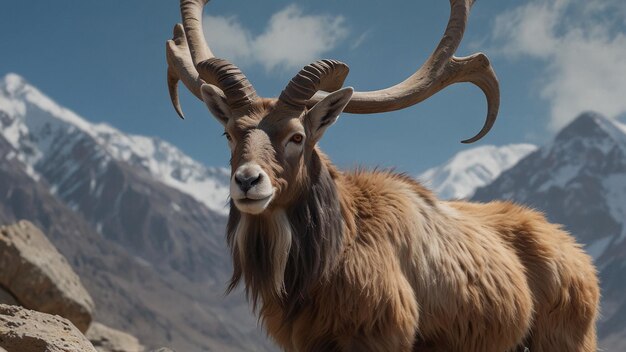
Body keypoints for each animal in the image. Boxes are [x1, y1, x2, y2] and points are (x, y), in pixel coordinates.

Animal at [163, 1, 596, 350]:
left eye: (297, 136)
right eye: (230, 133)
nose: (248, 181)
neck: (326, 264)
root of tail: (582, 260)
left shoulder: (381, 334)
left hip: (567, 339)